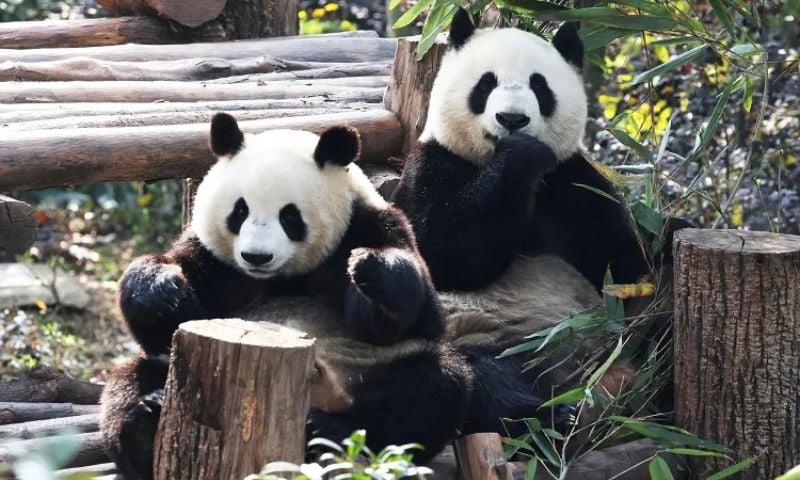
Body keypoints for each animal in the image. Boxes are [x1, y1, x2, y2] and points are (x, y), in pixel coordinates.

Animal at [392, 7, 676, 293]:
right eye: (485, 84)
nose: (512, 119)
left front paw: (666, 237)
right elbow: (442, 249)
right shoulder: (436, 161)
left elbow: (623, 261)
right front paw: (523, 154)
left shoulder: (576, 180)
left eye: (539, 86)